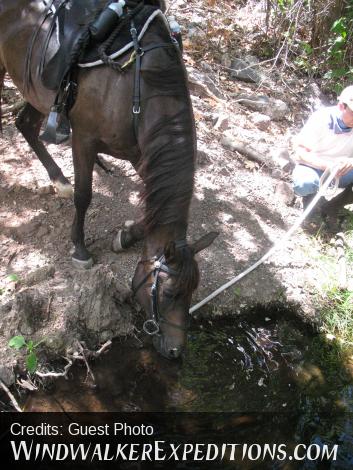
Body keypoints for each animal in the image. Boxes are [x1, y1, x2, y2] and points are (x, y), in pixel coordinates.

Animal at [0, 0, 216, 360]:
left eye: (193, 291)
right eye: (168, 294)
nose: (175, 352)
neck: (135, 85)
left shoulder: (142, 153)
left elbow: (149, 212)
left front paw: (125, 236)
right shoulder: (83, 140)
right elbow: (84, 195)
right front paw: (80, 248)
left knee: (25, 124)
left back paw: (58, 180)